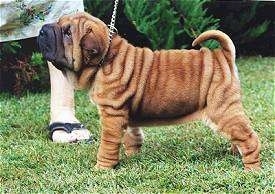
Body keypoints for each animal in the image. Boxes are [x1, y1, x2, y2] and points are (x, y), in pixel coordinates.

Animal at [38, 11, 260, 170]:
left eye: (67, 32)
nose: (41, 30)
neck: (105, 60)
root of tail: (222, 55)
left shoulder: (111, 115)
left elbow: (108, 144)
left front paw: (102, 168)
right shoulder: (125, 114)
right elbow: (132, 136)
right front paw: (133, 156)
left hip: (221, 109)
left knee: (249, 138)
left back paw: (251, 168)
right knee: (238, 134)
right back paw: (235, 153)